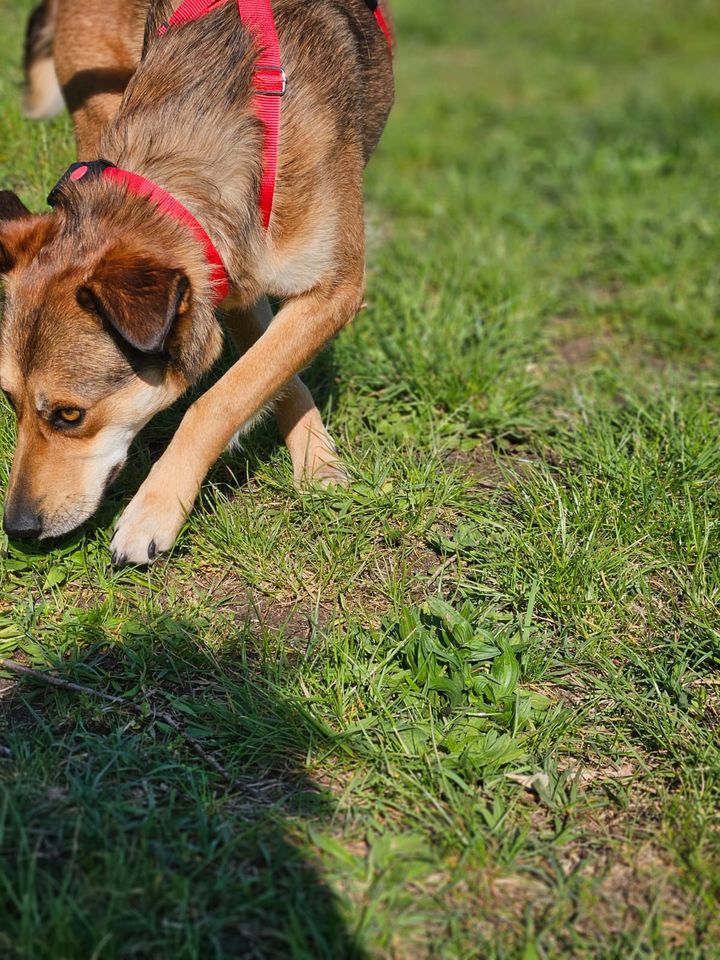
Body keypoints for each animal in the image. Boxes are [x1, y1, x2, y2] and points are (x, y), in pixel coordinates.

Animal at [1, 0, 394, 564]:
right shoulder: (228, 281)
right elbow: (267, 377)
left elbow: (222, 397)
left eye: (70, 415)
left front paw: (151, 512)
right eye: (9, 400)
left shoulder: (334, 287)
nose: (16, 528)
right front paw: (314, 455)